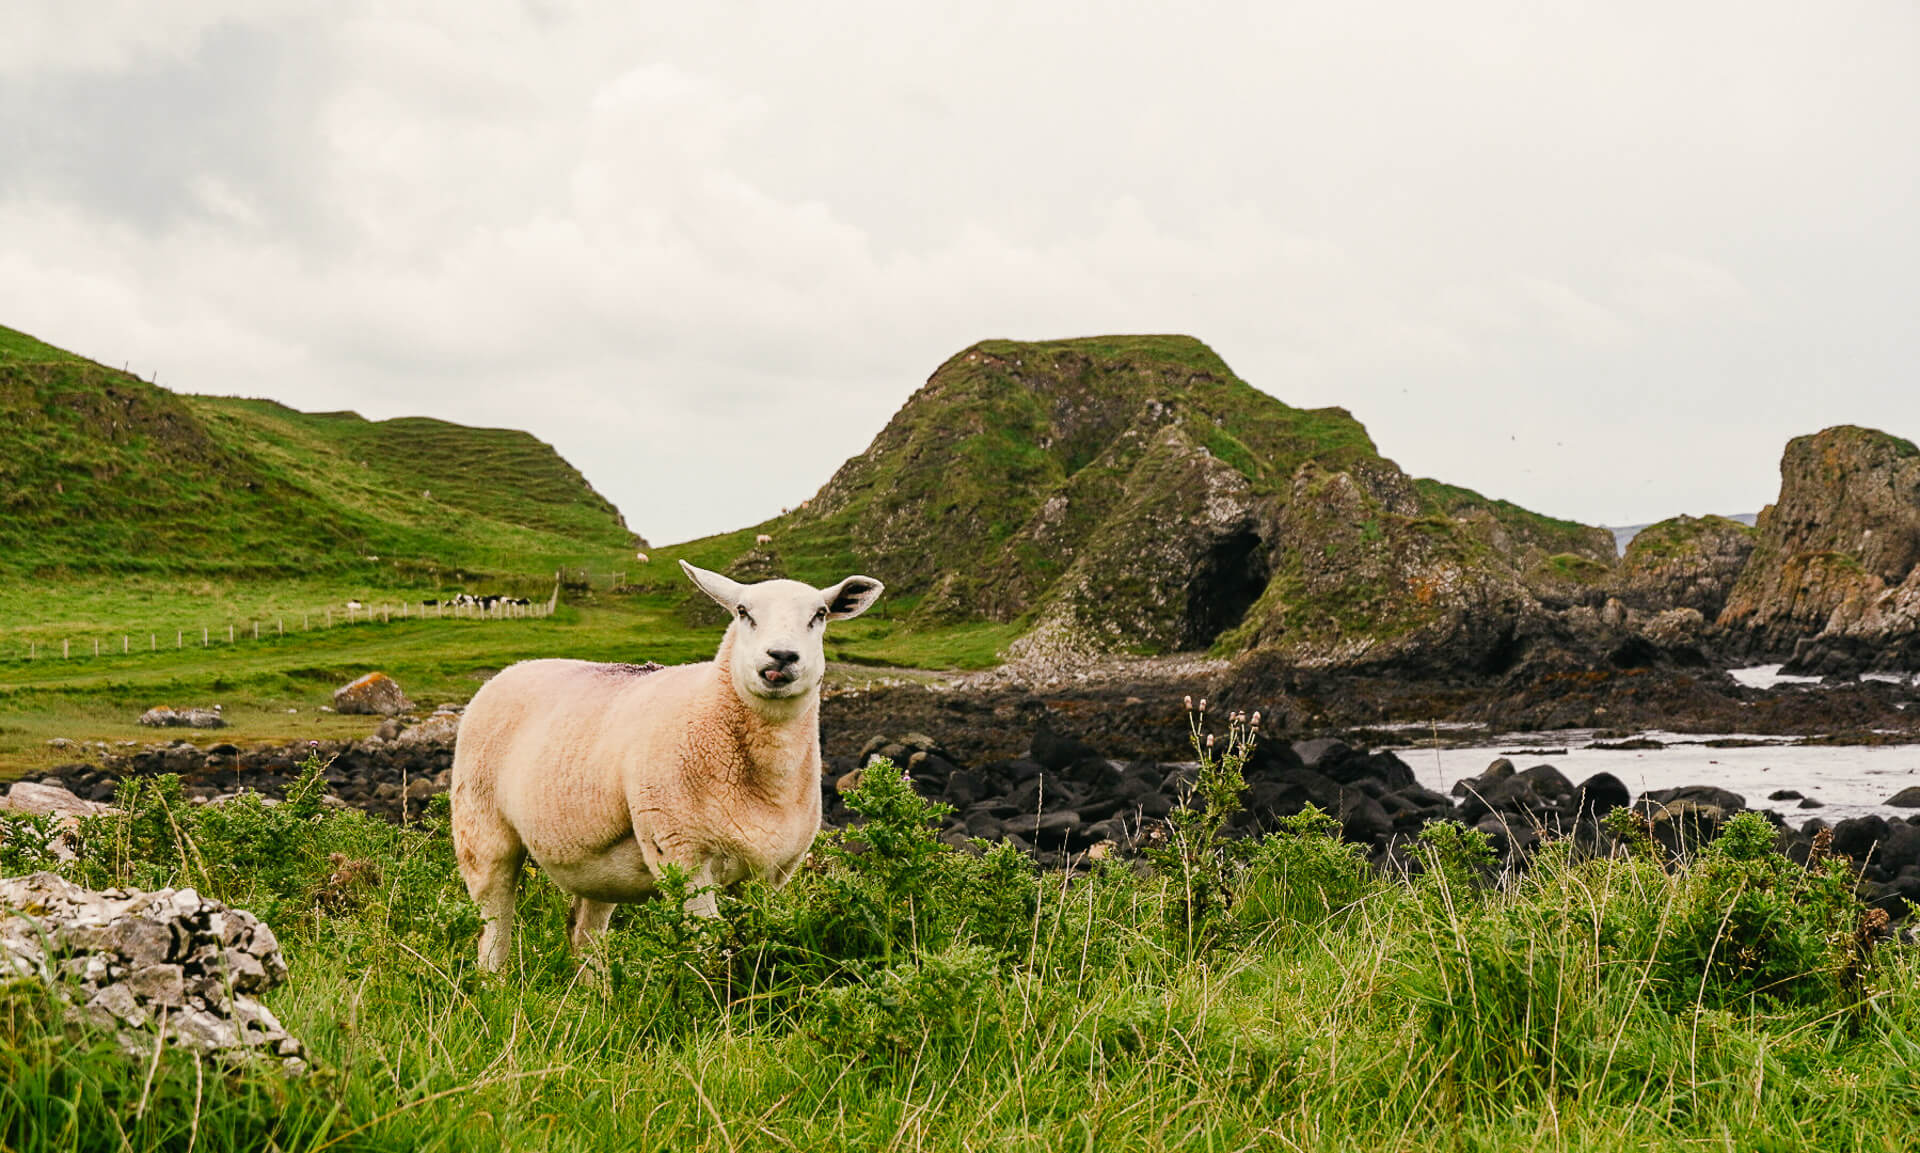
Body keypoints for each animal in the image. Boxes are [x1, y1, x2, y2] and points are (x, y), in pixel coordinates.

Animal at [449, 556, 883, 963]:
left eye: (819, 614)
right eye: (743, 611)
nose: (781, 655)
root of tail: (513, 669)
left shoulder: (772, 874)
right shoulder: (682, 855)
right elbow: (712, 948)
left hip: (596, 860)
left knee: (585, 932)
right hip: (482, 830)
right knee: (494, 924)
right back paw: (493, 984)